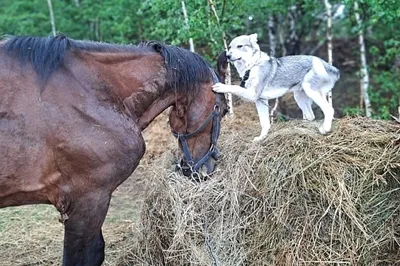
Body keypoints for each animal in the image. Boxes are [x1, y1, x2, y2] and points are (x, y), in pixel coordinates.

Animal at [212, 33, 340, 141]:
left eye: (239, 46)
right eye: (229, 47)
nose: (227, 56)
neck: (252, 66)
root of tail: (330, 67)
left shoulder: (253, 94)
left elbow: (234, 87)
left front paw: (221, 86)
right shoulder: (260, 100)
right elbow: (265, 123)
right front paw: (261, 138)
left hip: (311, 91)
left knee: (329, 109)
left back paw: (325, 129)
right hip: (299, 97)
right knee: (310, 116)